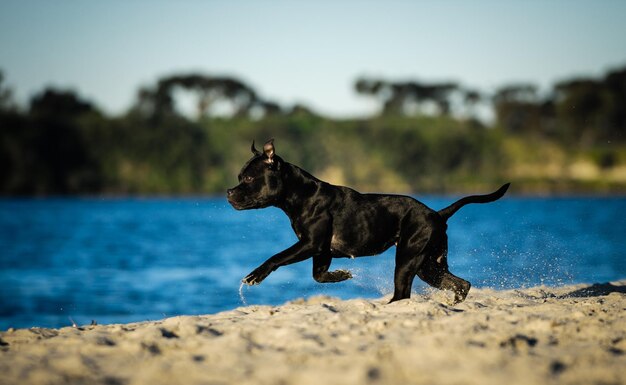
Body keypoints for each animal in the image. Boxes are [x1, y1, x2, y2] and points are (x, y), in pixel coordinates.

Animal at [225, 138, 508, 304]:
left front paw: (255, 275)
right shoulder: (321, 251)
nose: (228, 192)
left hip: (407, 261)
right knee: (460, 283)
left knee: (403, 293)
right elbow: (319, 276)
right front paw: (341, 275)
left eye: (248, 179)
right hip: (429, 265)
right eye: (239, 177)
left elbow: (276, 257)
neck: (300, 193)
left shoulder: (310, 244)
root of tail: (437, 213)